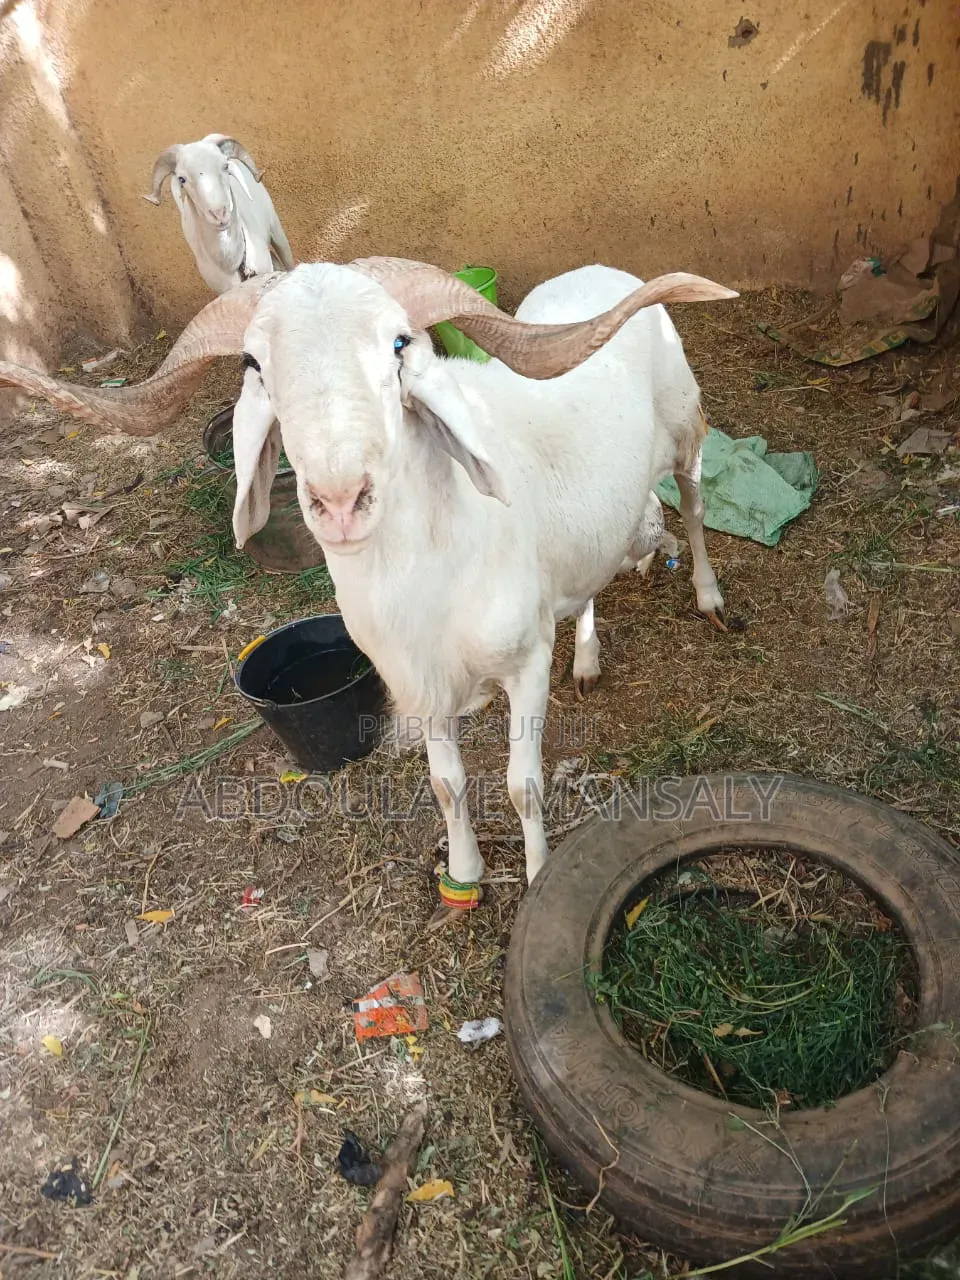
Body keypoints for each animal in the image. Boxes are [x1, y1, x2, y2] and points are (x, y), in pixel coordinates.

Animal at [0, 257, 736, 918]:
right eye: (253, 363)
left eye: (399, 344)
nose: (339, 499)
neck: (435, 566)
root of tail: (605, 272)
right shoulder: (423, 678)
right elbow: (446, 783)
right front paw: (463, 877)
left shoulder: (525, 662)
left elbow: (521, 785)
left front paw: (538, 880)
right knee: (591, 577)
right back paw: (586, 658)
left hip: (687, 433)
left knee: (695, 507)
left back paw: (710, 600)